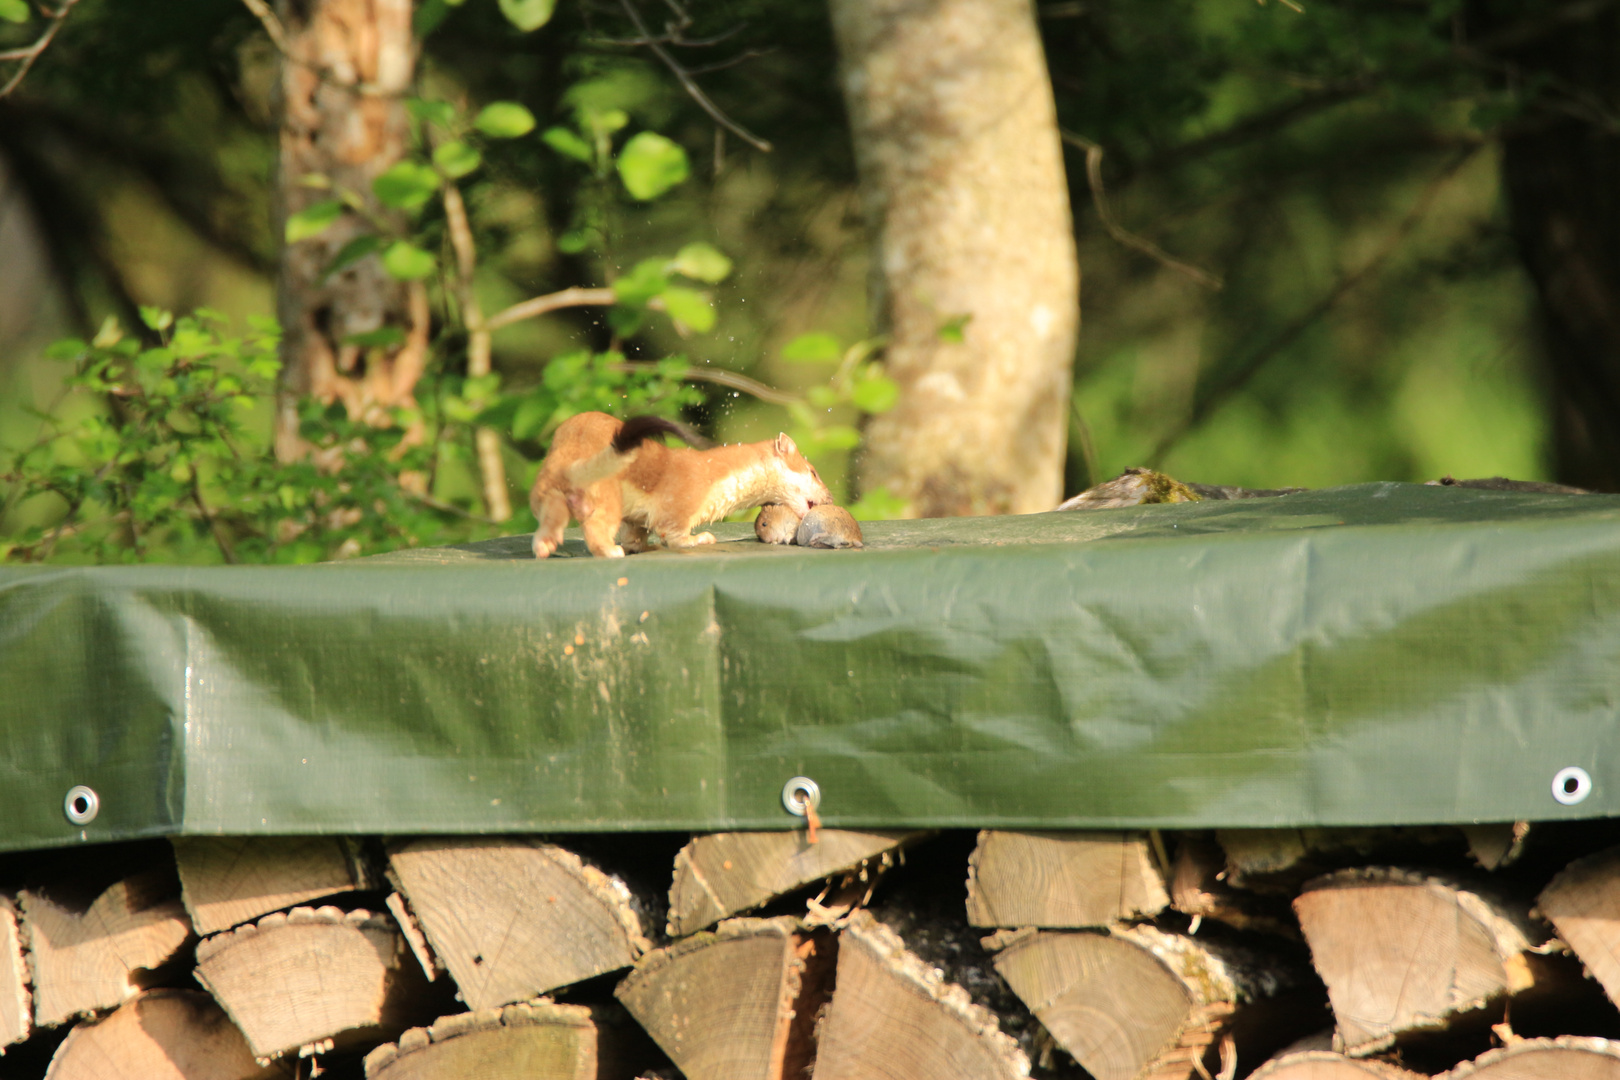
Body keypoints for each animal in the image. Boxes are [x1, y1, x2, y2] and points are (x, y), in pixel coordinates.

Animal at [534, 411, 835, 563]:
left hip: (549, 493)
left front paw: (640, 547)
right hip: (606, 495)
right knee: (597, 526)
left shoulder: (636, 518)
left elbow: (635, 533)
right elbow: (673, 532)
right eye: (814, 472)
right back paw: (609, 551)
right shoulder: (684, 497)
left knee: (549, 521)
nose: (831, 497)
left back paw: (545, 547)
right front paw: (700, 538)